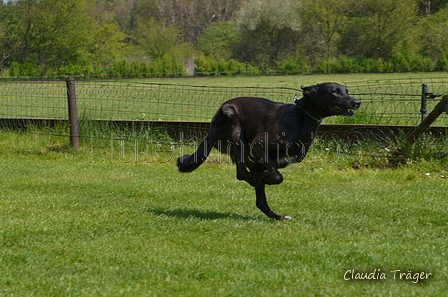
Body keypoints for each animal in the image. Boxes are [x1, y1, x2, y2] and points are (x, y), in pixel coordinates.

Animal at [176, 82, 360, 219]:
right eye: (335, 92)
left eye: (346, 91)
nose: (357, 102)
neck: (300, 118)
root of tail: (210, 131)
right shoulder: (258, 145)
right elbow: (277, 177)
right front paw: (266, 178)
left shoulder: (275, 160)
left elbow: (272, 172)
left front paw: (264, 178)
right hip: (235, 129)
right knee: (241, 173)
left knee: (260, 200)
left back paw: (277, 216)